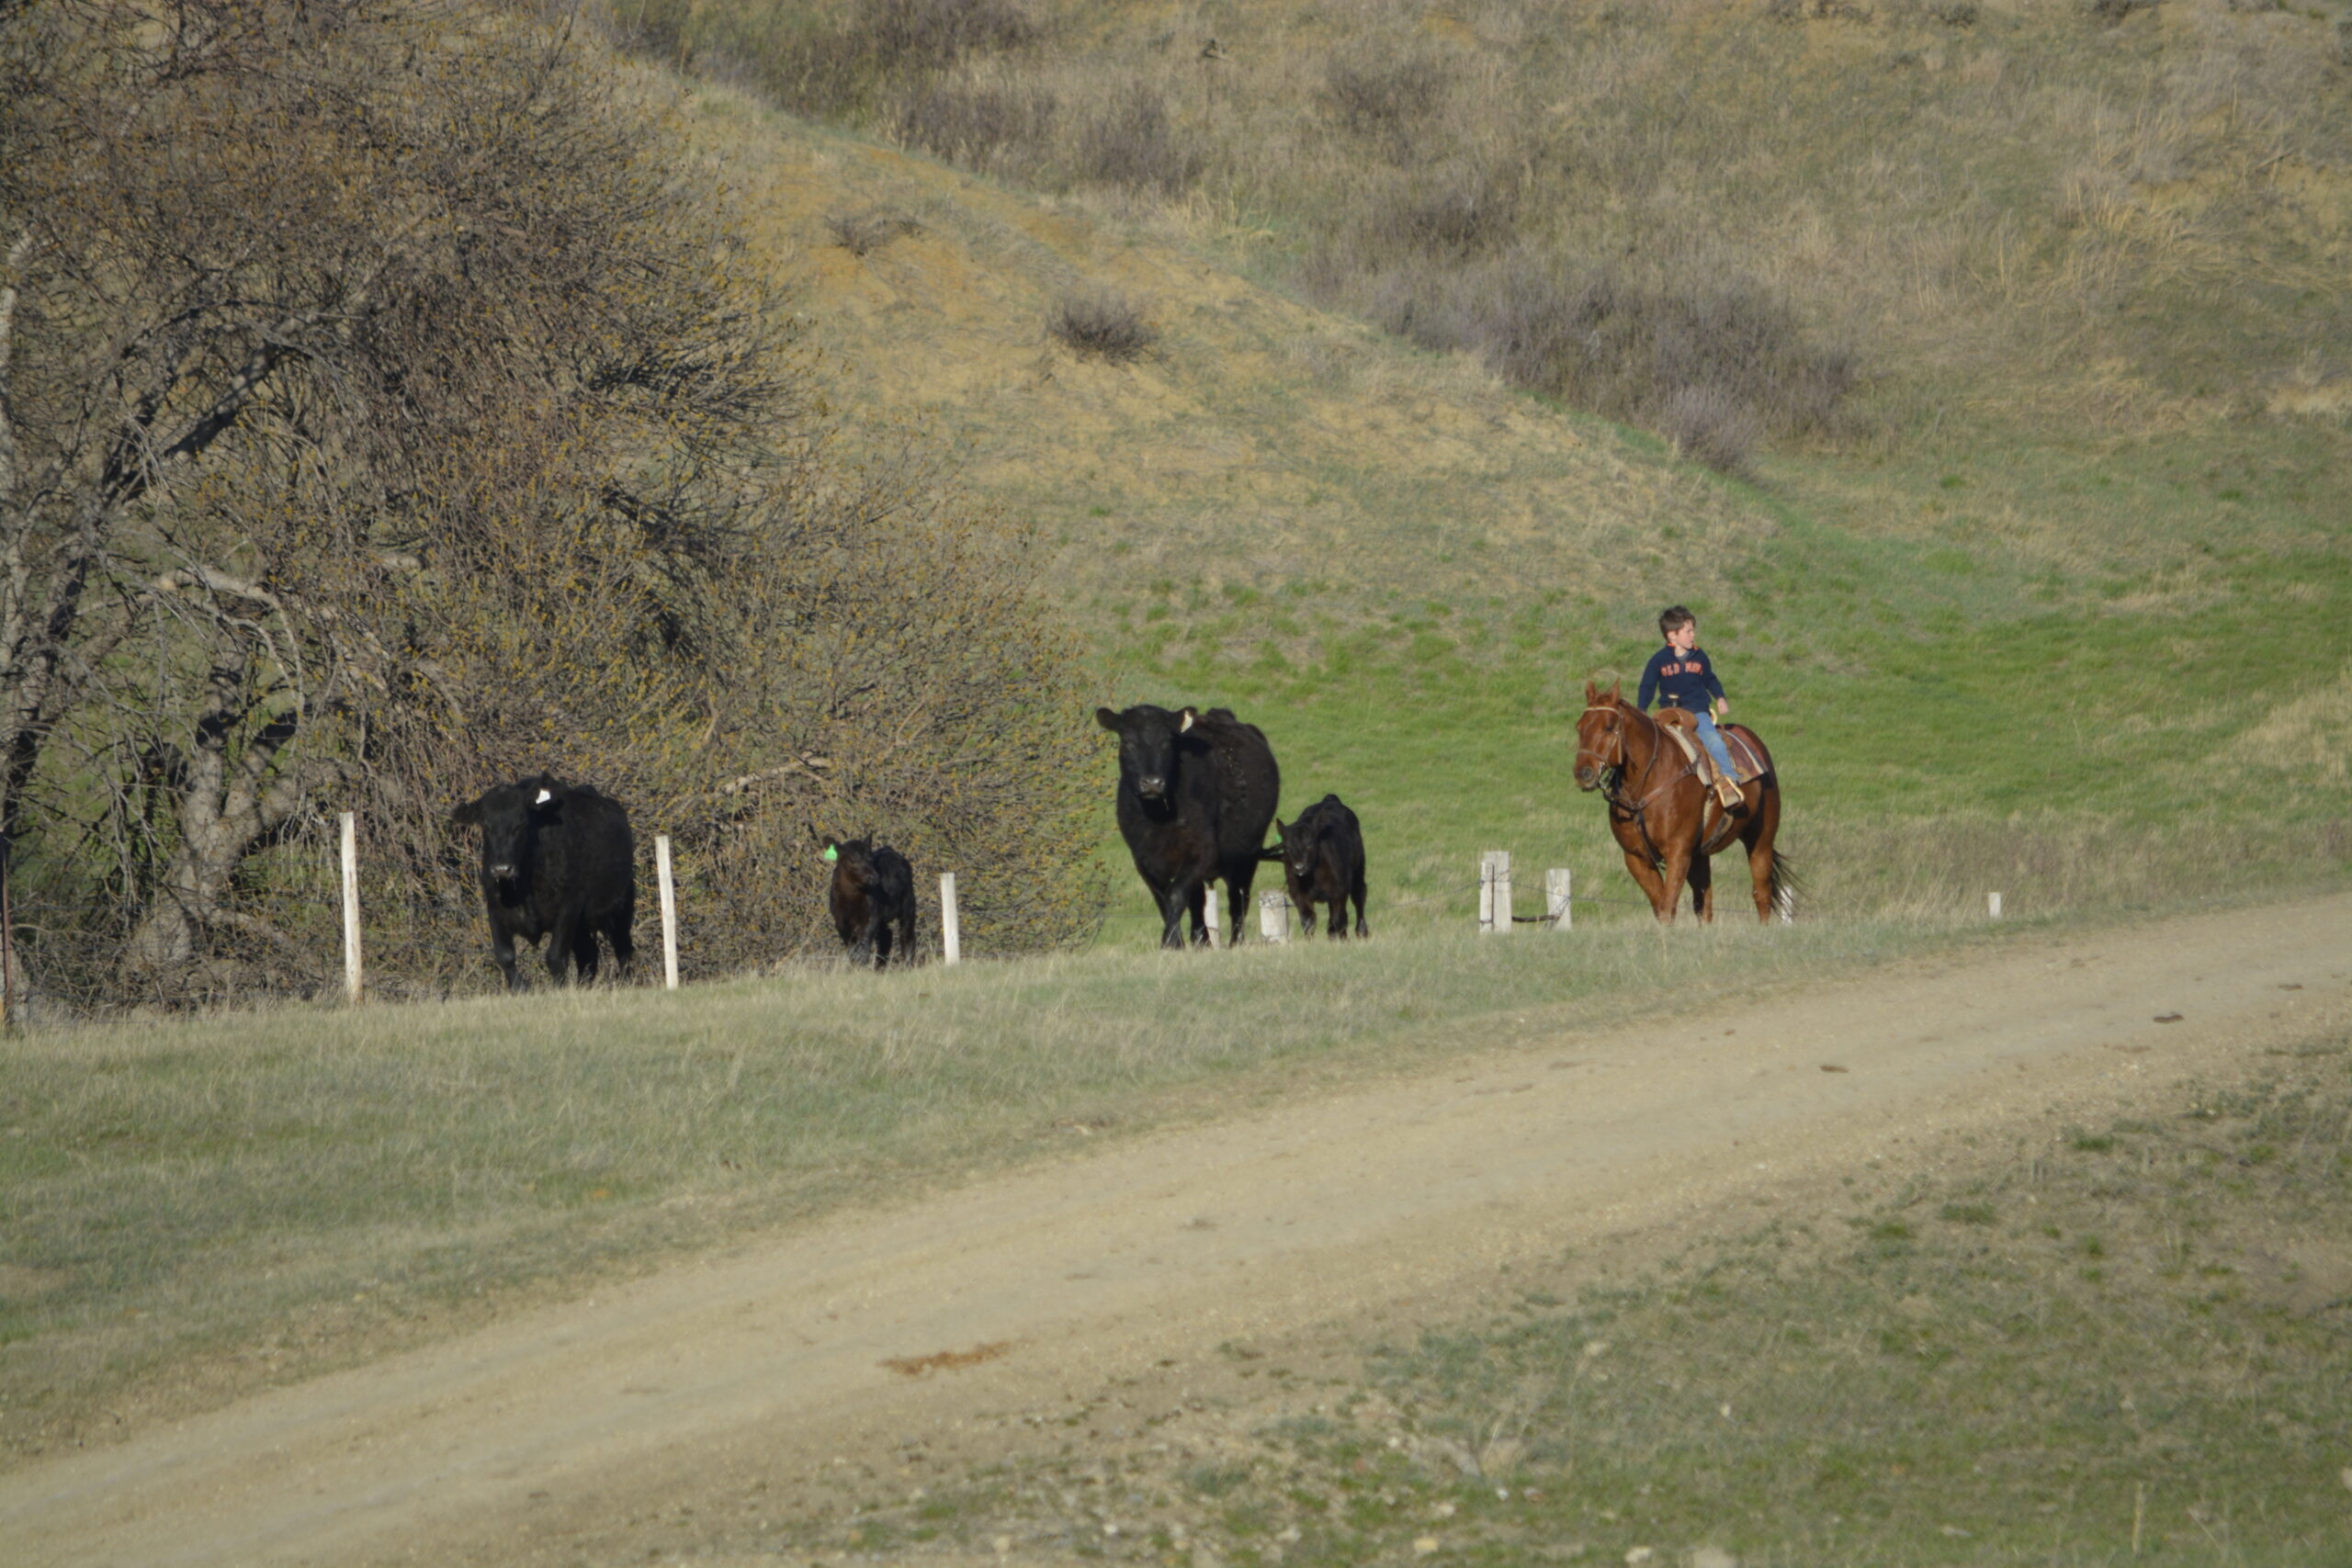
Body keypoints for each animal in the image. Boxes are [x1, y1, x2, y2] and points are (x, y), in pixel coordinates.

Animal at [1571, 679, 1792, 924]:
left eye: (1609, 727)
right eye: (1580, 727)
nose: (1583, 773)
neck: (1649, 783)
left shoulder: (1678, 853)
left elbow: (1668, 907)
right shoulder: (1636, 858)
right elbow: (1661, 906)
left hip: (1761, 840)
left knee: (1761, 894)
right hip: (1700, 856)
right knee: (1704, 903)